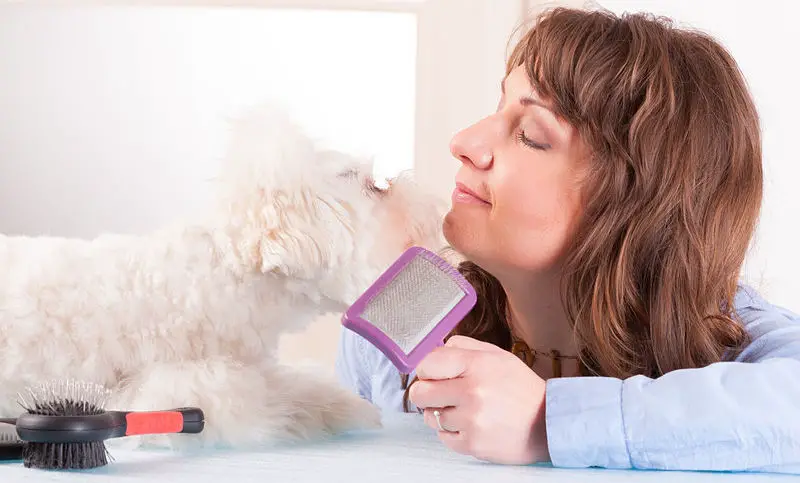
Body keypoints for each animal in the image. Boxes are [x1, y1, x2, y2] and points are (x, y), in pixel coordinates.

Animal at [0, 105, 446, 450]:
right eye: (373, 187)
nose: (431, 202)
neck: (226, 273)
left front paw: (336, 406)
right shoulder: (170, 388)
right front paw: (299, 414)